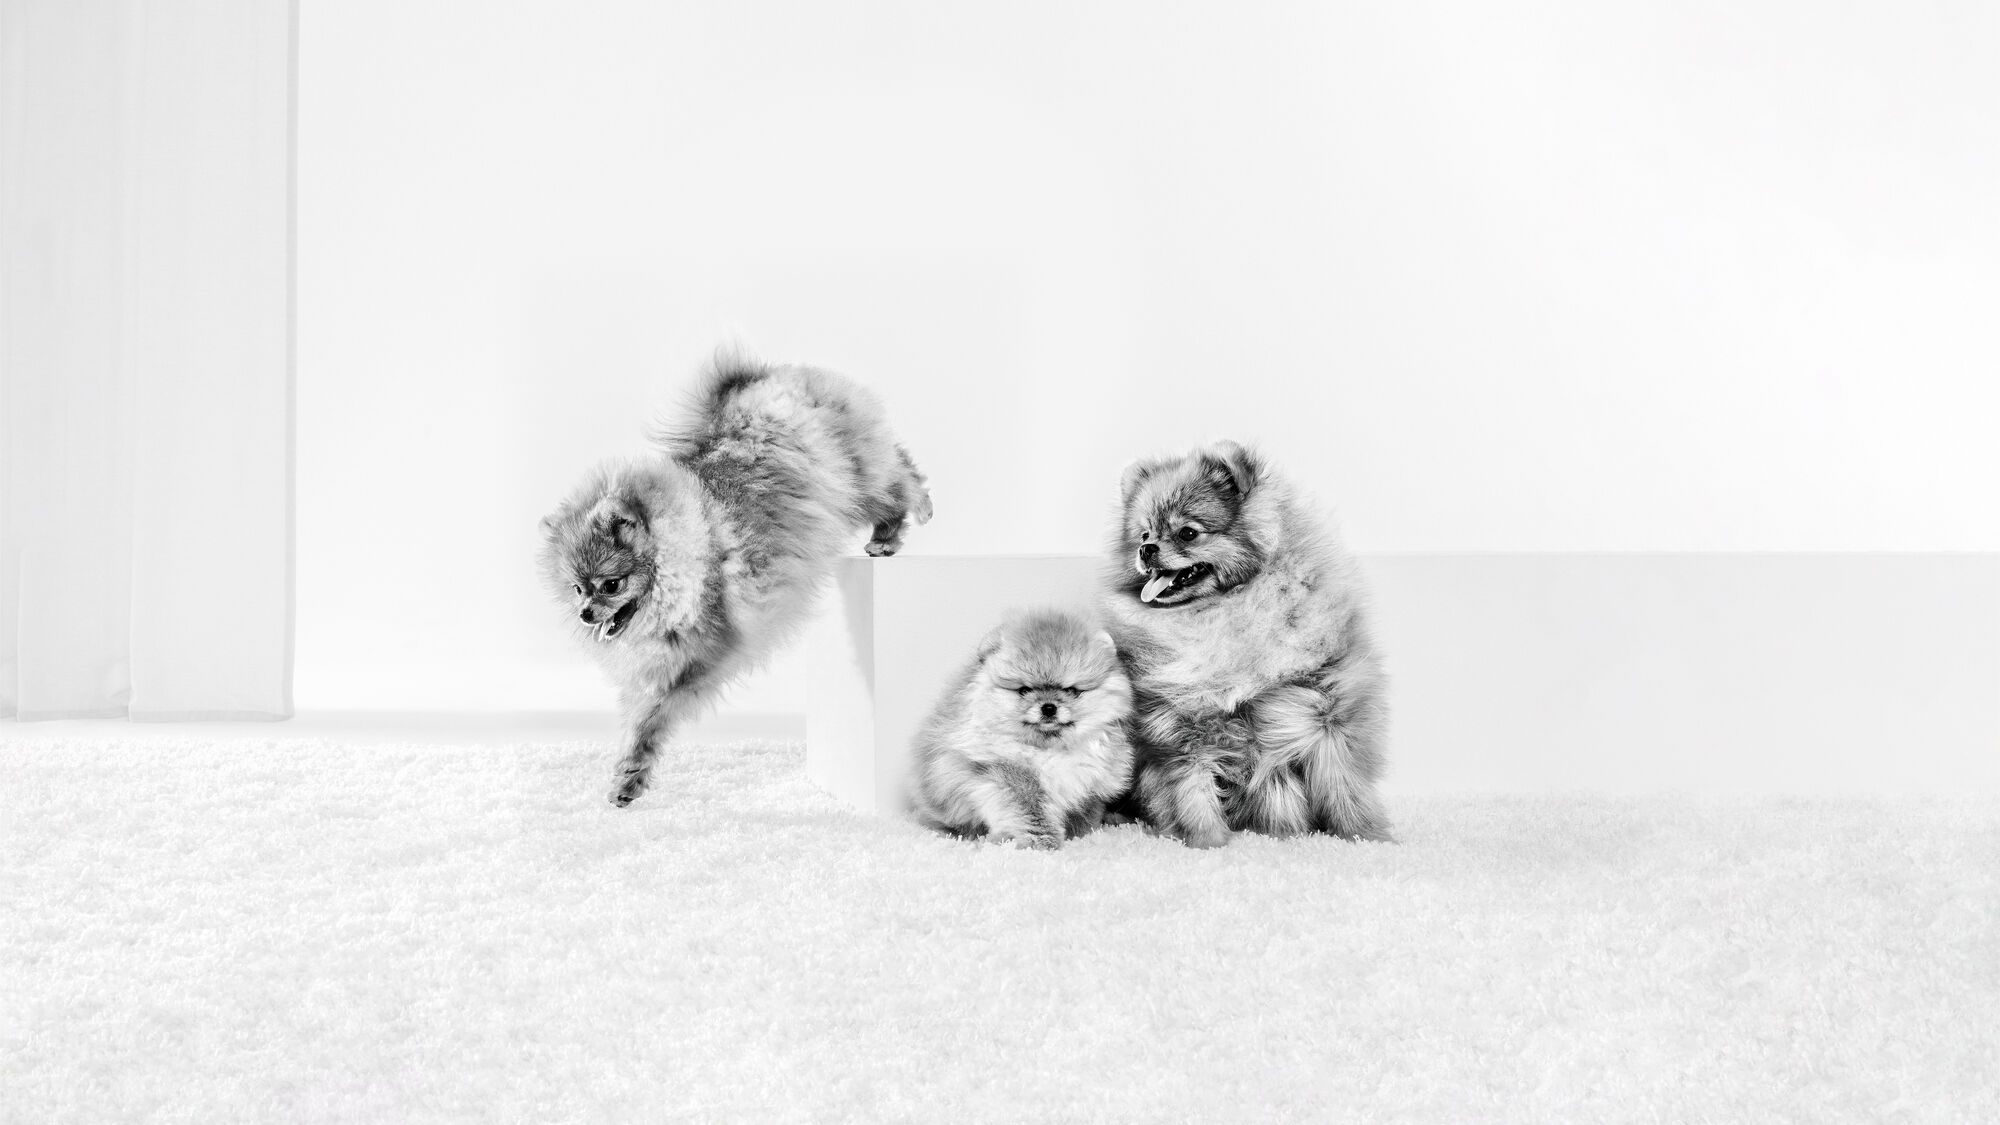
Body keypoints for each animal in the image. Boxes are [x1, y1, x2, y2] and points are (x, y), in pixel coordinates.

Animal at [536, 354, 932, 800]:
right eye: (576, 589)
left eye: (610, 585)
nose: (585, 613)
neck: (690, 562)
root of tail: (764, 378)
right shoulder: (657, 669)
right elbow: (637, 721)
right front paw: (627, 770)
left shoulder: (700, 660)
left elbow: (654, 717)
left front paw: (631, 777)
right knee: (896, 462)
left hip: (853, 477)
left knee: (896, 480)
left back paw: (899, 525)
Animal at [912, 608, 1136, 844]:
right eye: (1024, 690)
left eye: (1071, 690)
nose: (1049, 707)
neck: (1050, 750)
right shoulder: (1008, 777)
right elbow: (1030, 815)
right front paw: (1043, 843)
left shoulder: (1089, 786)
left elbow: (1084, 814)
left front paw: (1079, 835)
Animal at [1096, 438, 1392, 840]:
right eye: (1143, 535)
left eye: (1188, 533)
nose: (1146, 550)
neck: (1223, 613)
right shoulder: (1181, 728)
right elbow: (1193, 799)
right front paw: (1208, 843)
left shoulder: (1323, 710)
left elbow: (1343, 785)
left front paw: (1367, 838)